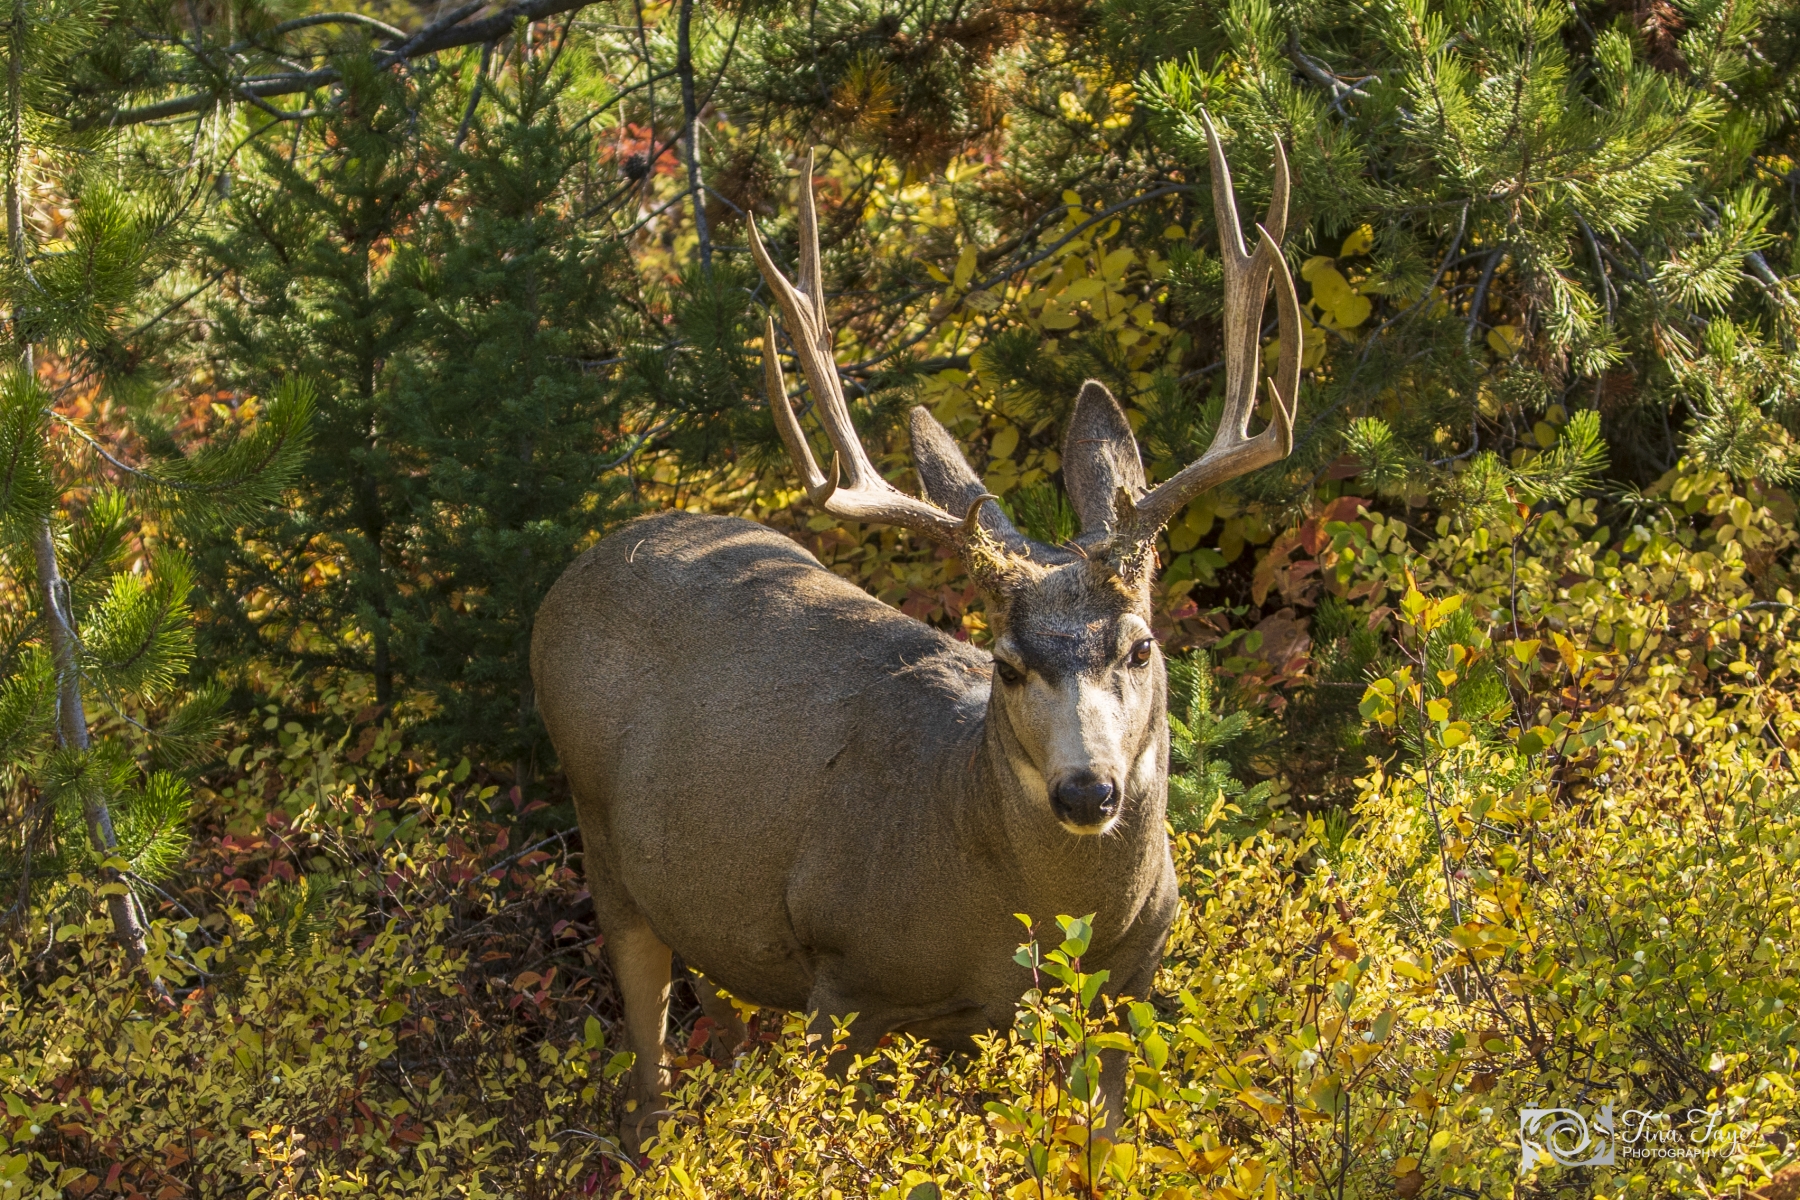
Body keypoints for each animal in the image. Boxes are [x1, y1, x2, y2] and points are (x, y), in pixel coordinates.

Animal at [530, 112, 1301, 1151]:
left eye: (1140, 645)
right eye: (1007, 665)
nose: (1087, 789)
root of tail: (577, 570)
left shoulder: (1128, 983)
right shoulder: (846, 981)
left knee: (716, 1005)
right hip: (600, 839)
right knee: (646, 1040)